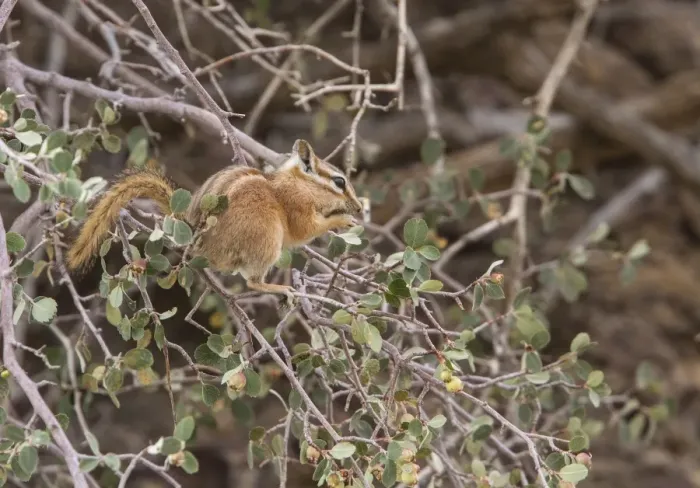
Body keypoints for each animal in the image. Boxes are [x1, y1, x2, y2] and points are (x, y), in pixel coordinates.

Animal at [66, 139, 363, 302]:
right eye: (339, 182)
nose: (360, 207)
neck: (296, 183)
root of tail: (197, 242)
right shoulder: (297, 207)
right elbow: (306, 230)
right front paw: (343, 221)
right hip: (267, 239)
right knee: (252, 282)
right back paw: (279, 287)